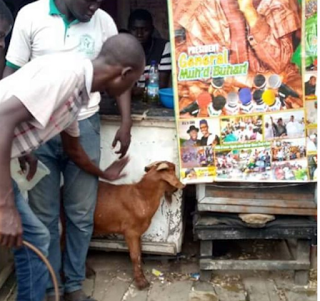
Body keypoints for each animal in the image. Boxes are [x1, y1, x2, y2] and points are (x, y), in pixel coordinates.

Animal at [92, 161, 185, 290]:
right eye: (173, 171)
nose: (176, 188)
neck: (141, 197)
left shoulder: (138, 233)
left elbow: (140, 253)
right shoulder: (130, 232)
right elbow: (135, 256)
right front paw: (141, 282)